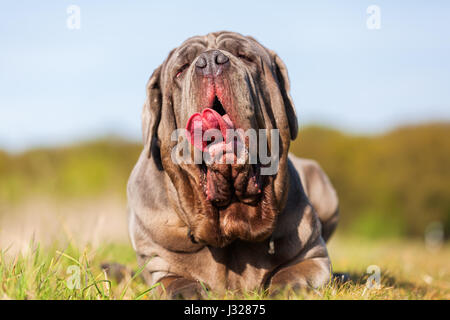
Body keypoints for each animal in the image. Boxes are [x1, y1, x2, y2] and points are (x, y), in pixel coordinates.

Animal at [126, 30, 338, 298]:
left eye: (245, 57)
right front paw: (188, 291)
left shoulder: (311, 254)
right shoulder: (158, 262)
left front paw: (284, 289)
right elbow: (175, 282)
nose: (210, 62)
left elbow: (291, 274)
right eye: (181, 69)